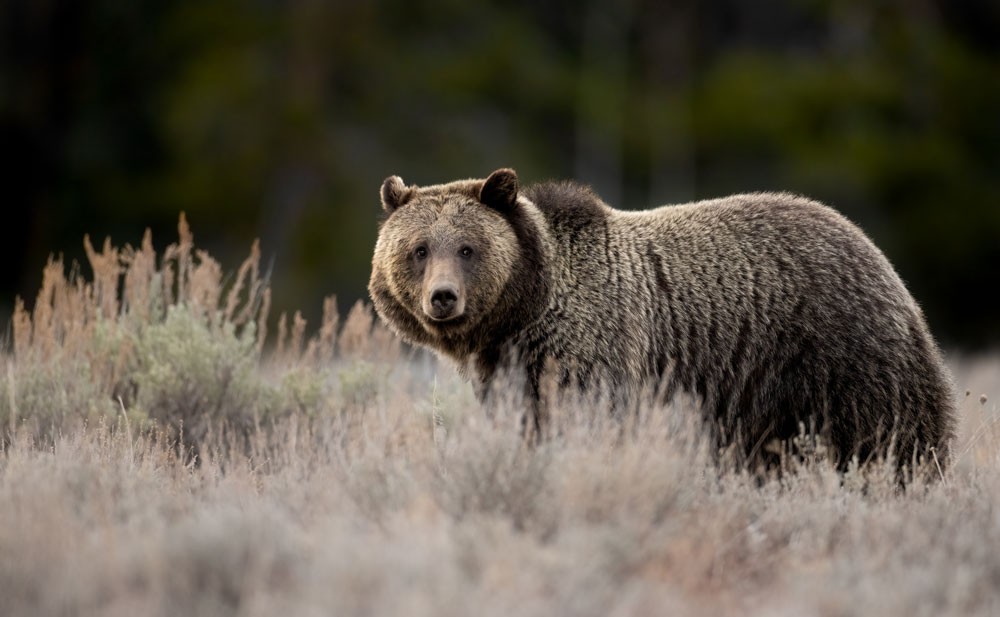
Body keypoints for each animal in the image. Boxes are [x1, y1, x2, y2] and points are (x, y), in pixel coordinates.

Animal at [368, 167, 952, 466]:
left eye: (468, 248)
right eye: (419, 248)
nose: (443, 298)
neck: (525, 312)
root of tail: (874, 251)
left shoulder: (589, 346)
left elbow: (586, 417)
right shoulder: (506, 369)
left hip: (836, 353)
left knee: (889, 433)